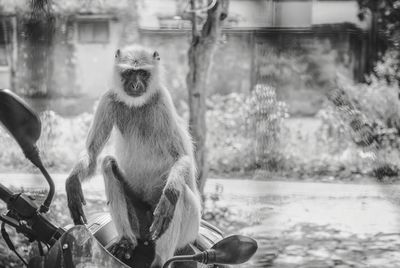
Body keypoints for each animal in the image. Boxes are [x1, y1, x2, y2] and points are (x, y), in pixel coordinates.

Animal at [66, 45, 203, 266]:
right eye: (130, 72)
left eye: (143, 74)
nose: (136, 84)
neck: (138, 105)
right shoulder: (108, 98)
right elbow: (93, 153)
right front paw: (72, 181)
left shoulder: (162, 100)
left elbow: (182, 159)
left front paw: (169, 195)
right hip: (142, 222)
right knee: (107, 164)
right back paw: (127, 241)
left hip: (189, 228)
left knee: (178, 193)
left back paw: (160, 260)